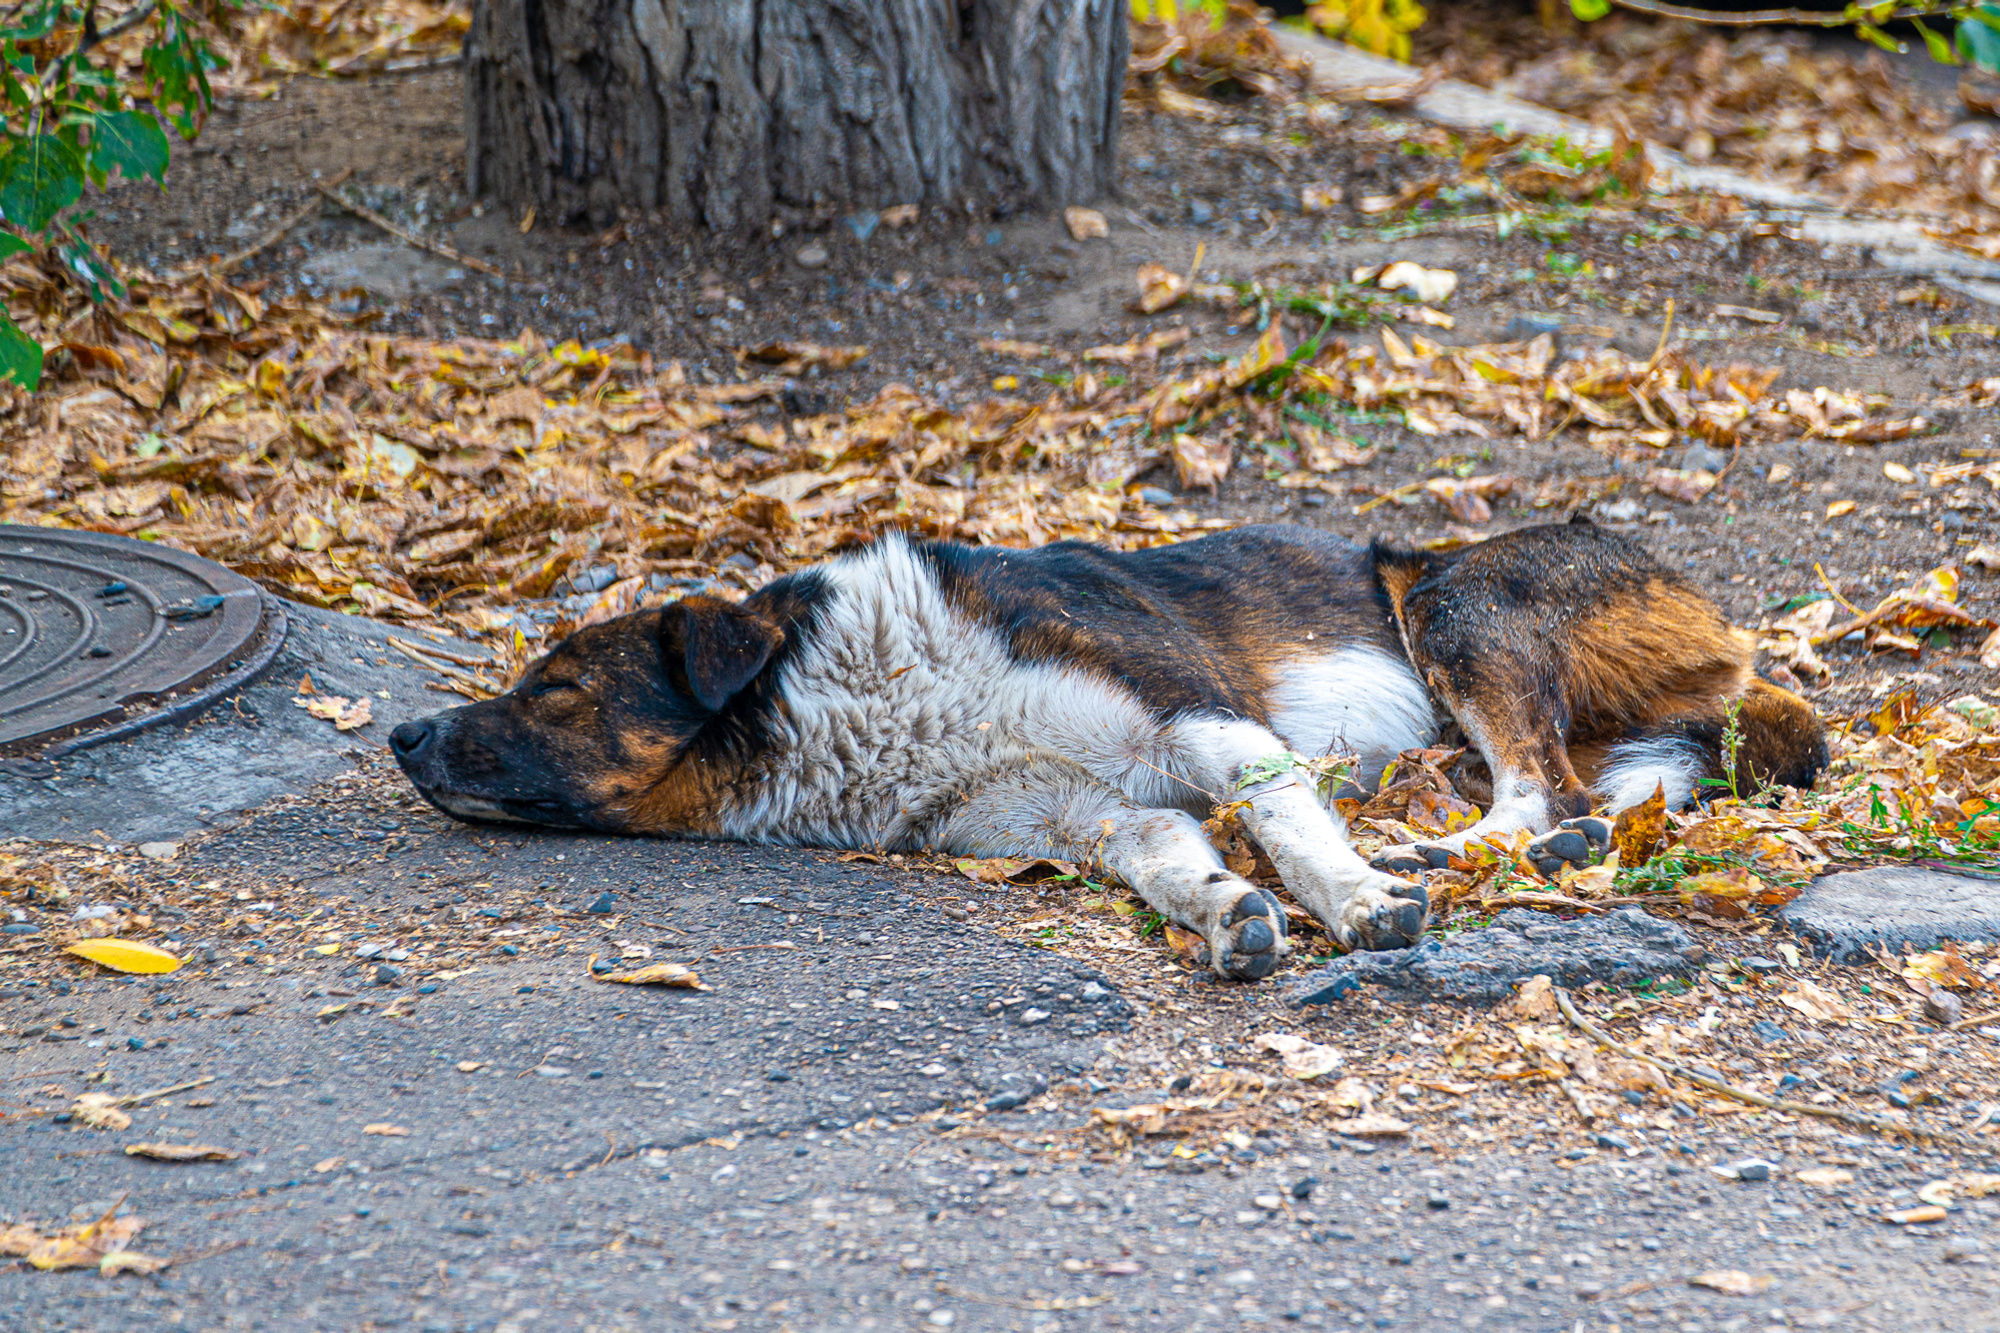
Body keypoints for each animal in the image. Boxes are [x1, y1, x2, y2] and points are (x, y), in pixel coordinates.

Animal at [390, 516, 1832, 976]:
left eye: (558, 684)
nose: (402, 731)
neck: (854, 692)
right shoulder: (1088, 815)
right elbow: (1179, 862)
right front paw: (1229, 913)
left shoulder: (1205, 716)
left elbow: (1290, 823)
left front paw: (1355, 897)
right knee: (1611, 779)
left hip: (1447, 596)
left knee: (1542, 782)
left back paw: (1450, 847)